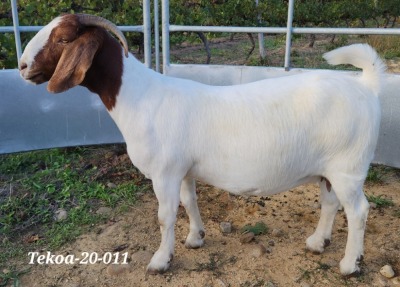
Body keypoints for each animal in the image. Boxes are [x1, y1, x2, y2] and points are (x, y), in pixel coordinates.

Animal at [18, 14, 384, 276]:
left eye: (63, 38)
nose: (22, 66)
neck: (140, 98)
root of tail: (366, 86)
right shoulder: (183, 169)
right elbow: (189, 201)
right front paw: (196, 238)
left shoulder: (164, 171)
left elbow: (165, 215)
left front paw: (160, 261)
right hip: (330, 168)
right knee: (330, 203)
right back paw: (317, 243)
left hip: (349, 168)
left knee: (358, 211)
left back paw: (349, 265)